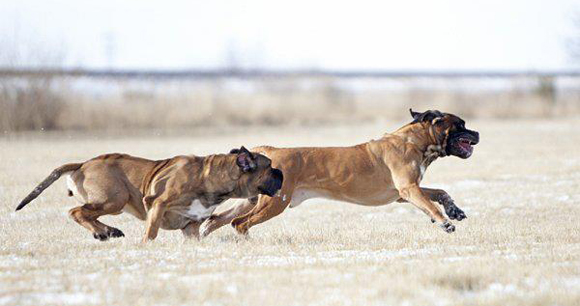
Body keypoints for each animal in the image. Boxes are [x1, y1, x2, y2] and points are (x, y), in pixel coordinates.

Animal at [15, 146, 284, 241]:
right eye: (269, 166)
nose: (280, 171)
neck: (211, 176)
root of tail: (83, 164)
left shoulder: (191, 226)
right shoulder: (157, 204)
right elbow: (151, 233)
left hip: (112, 203)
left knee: (85, 214)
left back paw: (108, 232)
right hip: (114, 200)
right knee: (77, 212)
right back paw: (103, 232)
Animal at [201, 110, 480, 237]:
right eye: (461, 124)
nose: (477, 133)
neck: (414, 142)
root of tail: (268, 151)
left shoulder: (404, 194)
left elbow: (441, 193)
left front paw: (454, 210)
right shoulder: (409, 189)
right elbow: (431, 204)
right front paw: (444, 221)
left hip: (252, 201)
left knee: (218, 219)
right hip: (273, 203)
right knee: (240, 223)